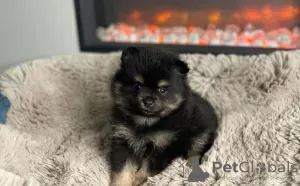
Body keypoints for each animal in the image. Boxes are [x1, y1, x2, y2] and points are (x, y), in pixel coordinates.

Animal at [109, 46, 218, 186]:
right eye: (137, 86)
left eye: (162, 90)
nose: (148, 101)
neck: (146, 121)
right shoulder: (123, 141)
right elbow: (122, 170)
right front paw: (121, 183)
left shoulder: (163, 146)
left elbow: (147, 168)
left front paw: (138, 180)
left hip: (201, 134)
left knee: (196, 150)